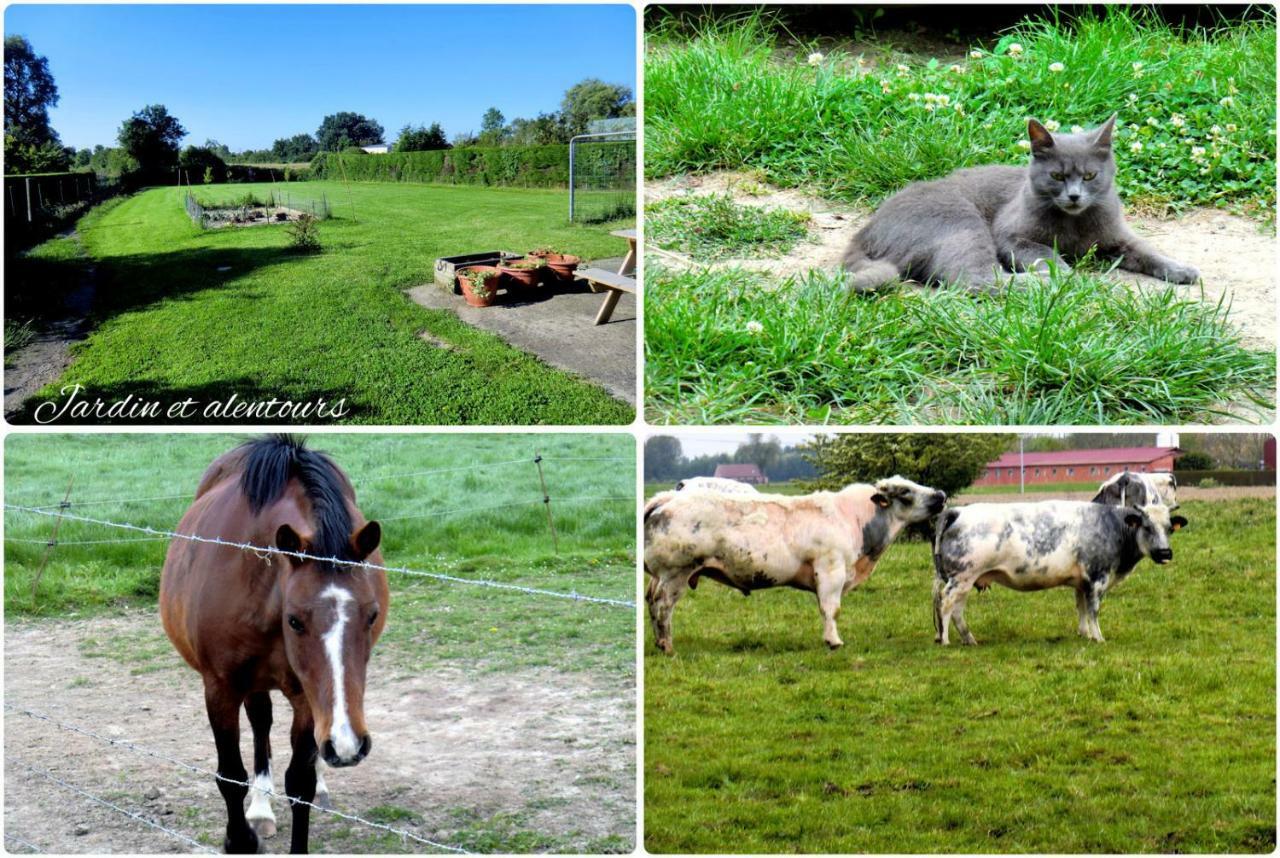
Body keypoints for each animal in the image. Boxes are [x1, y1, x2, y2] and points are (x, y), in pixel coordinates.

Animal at [161, 440, 389, 855]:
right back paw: (261, 808)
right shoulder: (221, 686)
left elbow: (301, 782)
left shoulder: (307, 696)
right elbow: (231, 775)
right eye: (295, 620)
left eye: (372, 615)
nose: (349, 745)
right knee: (260, 723)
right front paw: (240, 838)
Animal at [839, 116, 1198, 295]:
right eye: (1057, 175)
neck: (1074, 224)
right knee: (976, 280)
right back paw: (1051, 284)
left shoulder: (1117, 237)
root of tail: (865, 232)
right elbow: (1047, 254)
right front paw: (1067, 275)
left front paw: (1182, 269)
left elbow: (1147, 251)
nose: (1074, 196)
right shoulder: (1010, 237)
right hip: (962, 222)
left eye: (1090, 175)